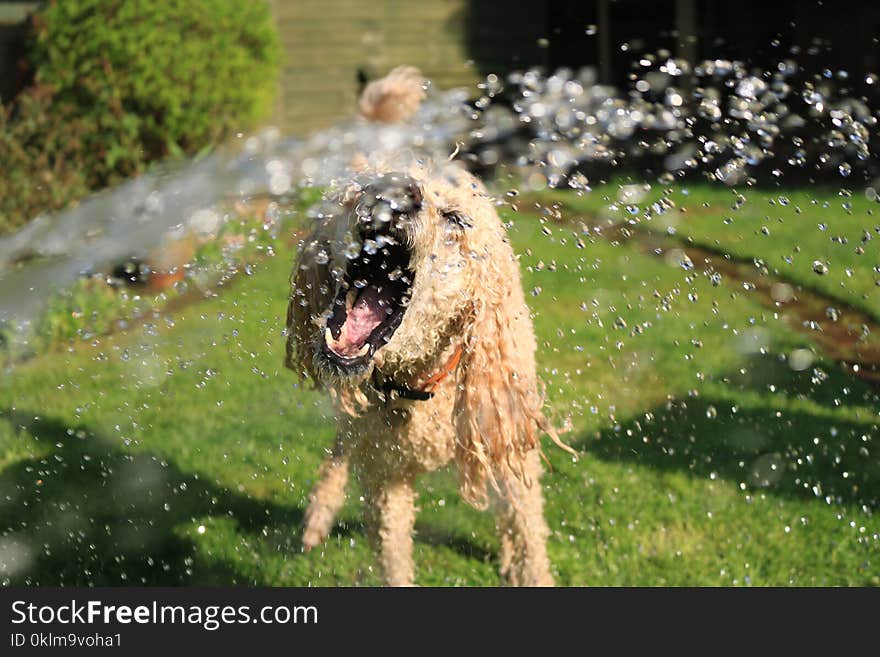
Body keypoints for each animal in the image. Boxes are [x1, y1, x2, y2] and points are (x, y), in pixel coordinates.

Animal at [282, 69, 572, 588]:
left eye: (455, 219)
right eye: (358, 190)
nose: (395, 192)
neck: (419, 382)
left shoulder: (506, 434)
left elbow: (527, 535)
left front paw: (522, 564)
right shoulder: (384, 478)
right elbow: (393, 557)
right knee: (341, 446)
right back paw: (319, 515)